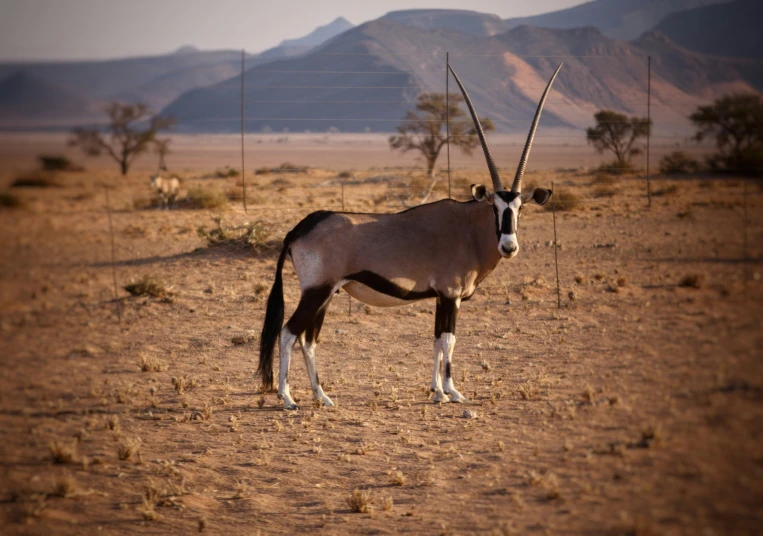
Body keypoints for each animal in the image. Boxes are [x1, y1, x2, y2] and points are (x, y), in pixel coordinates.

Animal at [256, 62, 560, 408]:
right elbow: (449, 340)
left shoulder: (441, 297)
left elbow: (437, 340)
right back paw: (287, 397)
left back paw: (323, 396)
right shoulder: (451, 295)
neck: (468, 229)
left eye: (520, 208)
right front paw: (453, 392)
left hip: (327, 294)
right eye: (494, 207)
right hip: (316, 291)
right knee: (289, 333)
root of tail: (298, 228)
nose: (509, 246)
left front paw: (436, 391)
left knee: (309, 339)